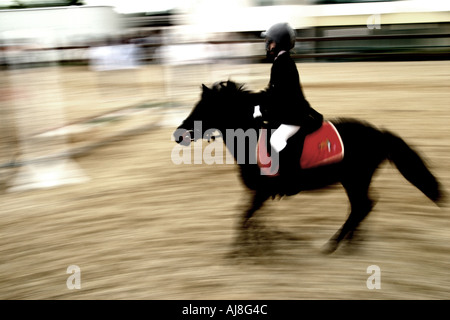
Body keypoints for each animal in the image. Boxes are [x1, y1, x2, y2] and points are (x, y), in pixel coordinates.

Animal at [174, 81, 444, 254]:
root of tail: (379, 133)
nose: (179, 134)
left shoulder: (263, 191)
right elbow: (252, 217)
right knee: (363, 206)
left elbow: (244, 216)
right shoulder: (261, 193)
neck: (251, 138)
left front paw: (240, 250)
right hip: (355, 180)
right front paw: (260, 243)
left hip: (355, 179)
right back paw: (351, 243)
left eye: (203, 109)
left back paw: (333, 245)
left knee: (361, 207)